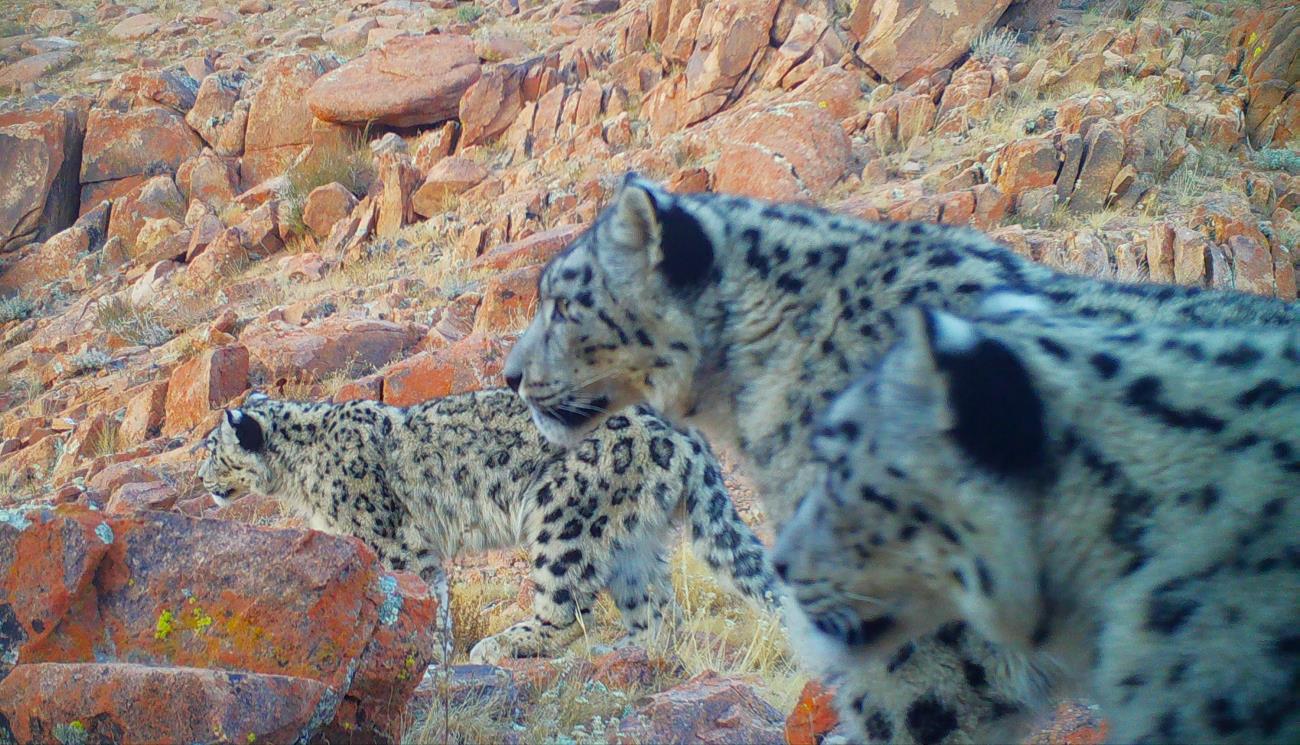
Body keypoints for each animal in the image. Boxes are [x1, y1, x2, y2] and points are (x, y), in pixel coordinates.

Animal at [196, 388, 778, 664]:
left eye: (211, 450)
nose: (200, 478)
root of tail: (679, 430)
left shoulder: (394, 543)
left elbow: (423, 598)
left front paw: (430, 660)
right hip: (633, 536)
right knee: (660, 611)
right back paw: (622, 650)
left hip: (562, 514)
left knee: (567, 609)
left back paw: (503, 644)